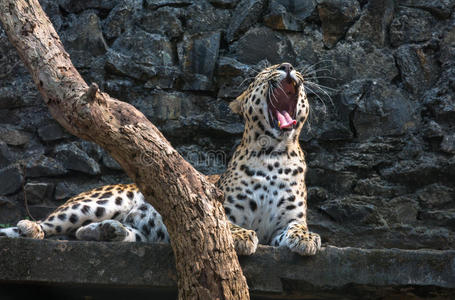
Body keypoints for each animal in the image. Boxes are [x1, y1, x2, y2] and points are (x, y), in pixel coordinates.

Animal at [0, 62, 320, 255]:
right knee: (50, 224)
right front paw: (241, 236)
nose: (287, 66)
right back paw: (30, 227)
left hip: (141, 231)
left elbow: (298, 226)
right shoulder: (218, 208)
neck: (274, 153)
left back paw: (109, 231)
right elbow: (227, 224)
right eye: (265, 73)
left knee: (85, 233)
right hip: (98, 202)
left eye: (286, 65)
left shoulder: (286, 221)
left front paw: (306, 239)